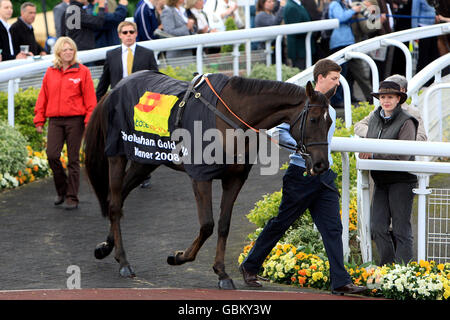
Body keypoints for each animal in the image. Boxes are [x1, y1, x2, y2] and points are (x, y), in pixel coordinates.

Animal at [83, 74, 334, 288]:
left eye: (330, 122)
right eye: (313, 120)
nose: (321, 164)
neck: (229, 117)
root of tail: (114, 89)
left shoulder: (235, 178)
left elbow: (223, 224)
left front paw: (222, 273)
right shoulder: (200, 176)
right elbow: (207, 224)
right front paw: (179, 257)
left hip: (145, 159)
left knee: (118, 197)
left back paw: (106, 247)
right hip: (117, 153)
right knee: (115, 203)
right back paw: (124, 262)